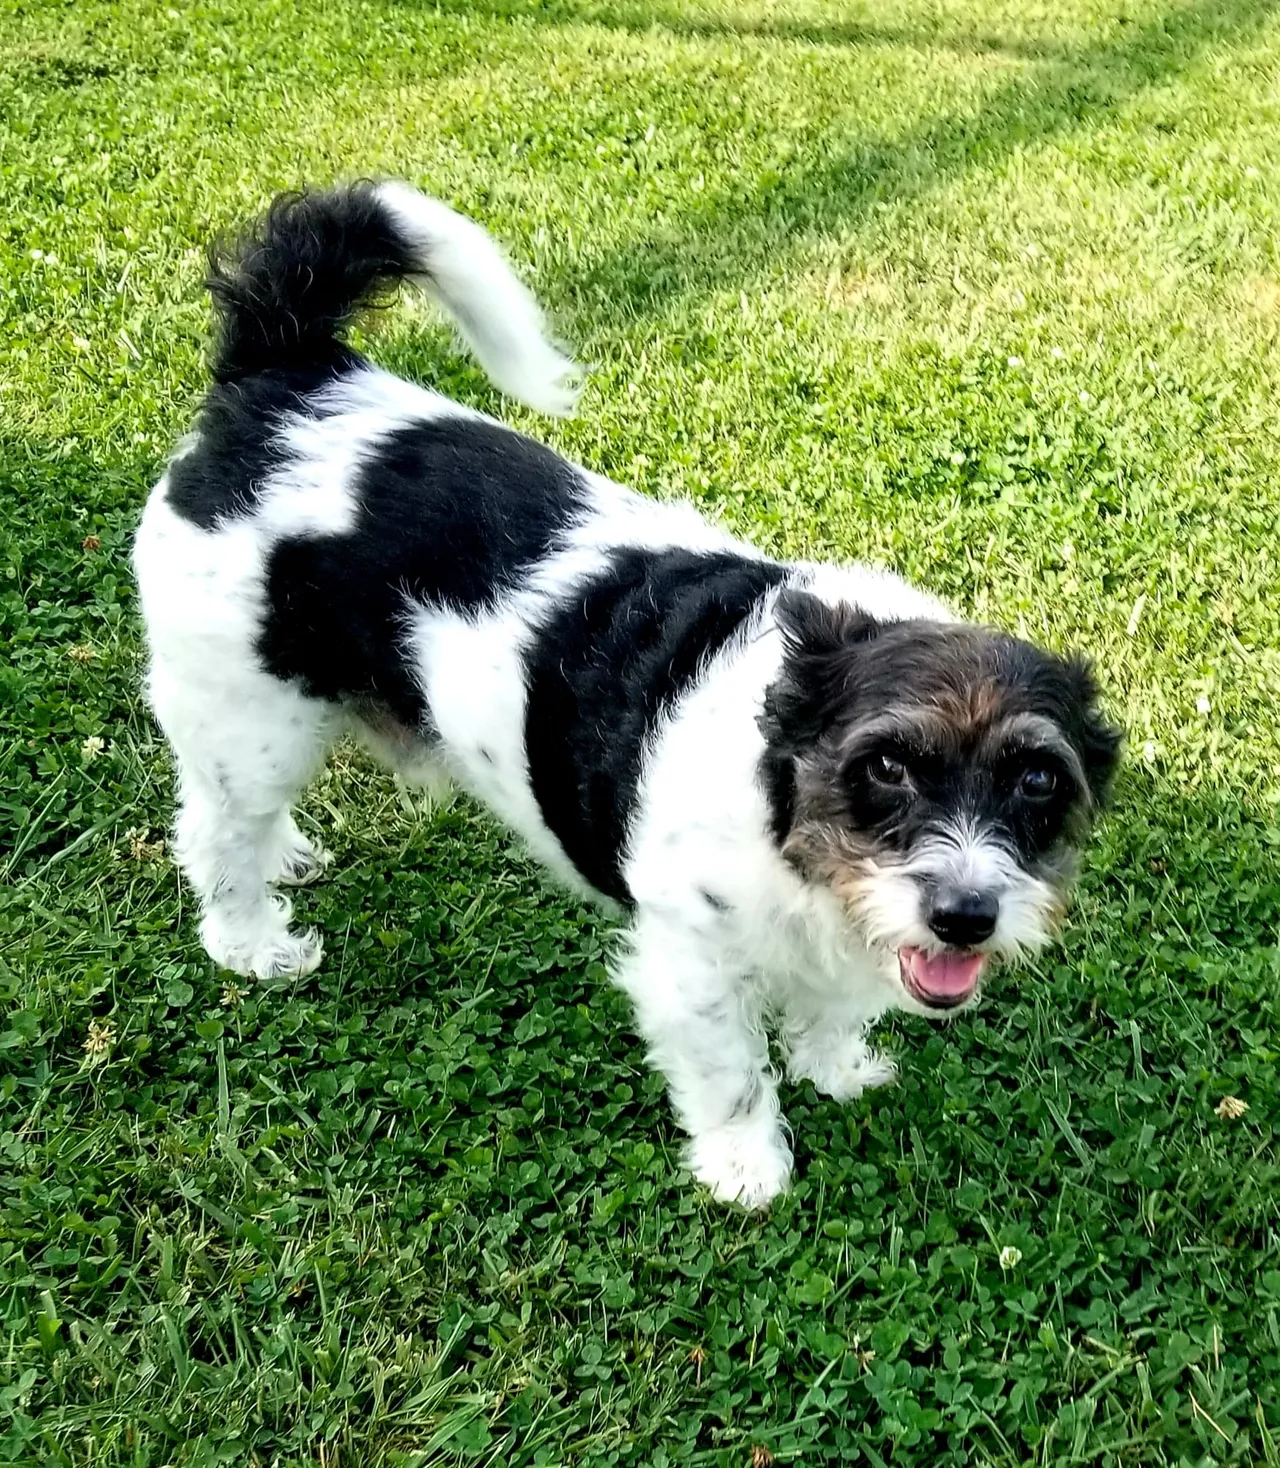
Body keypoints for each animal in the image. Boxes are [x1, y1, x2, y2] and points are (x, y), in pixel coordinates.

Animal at [132, 180, 1121, 1203]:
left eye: (1038, 781)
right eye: (885, 766)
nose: (966, 917)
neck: (779, 790)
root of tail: (287, 373)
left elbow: (835, 1011)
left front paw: (839, 1069)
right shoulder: (691, 969)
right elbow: (733, 1076)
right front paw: (747, 1166)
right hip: (250, 716)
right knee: (213, 831)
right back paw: (252, 944)